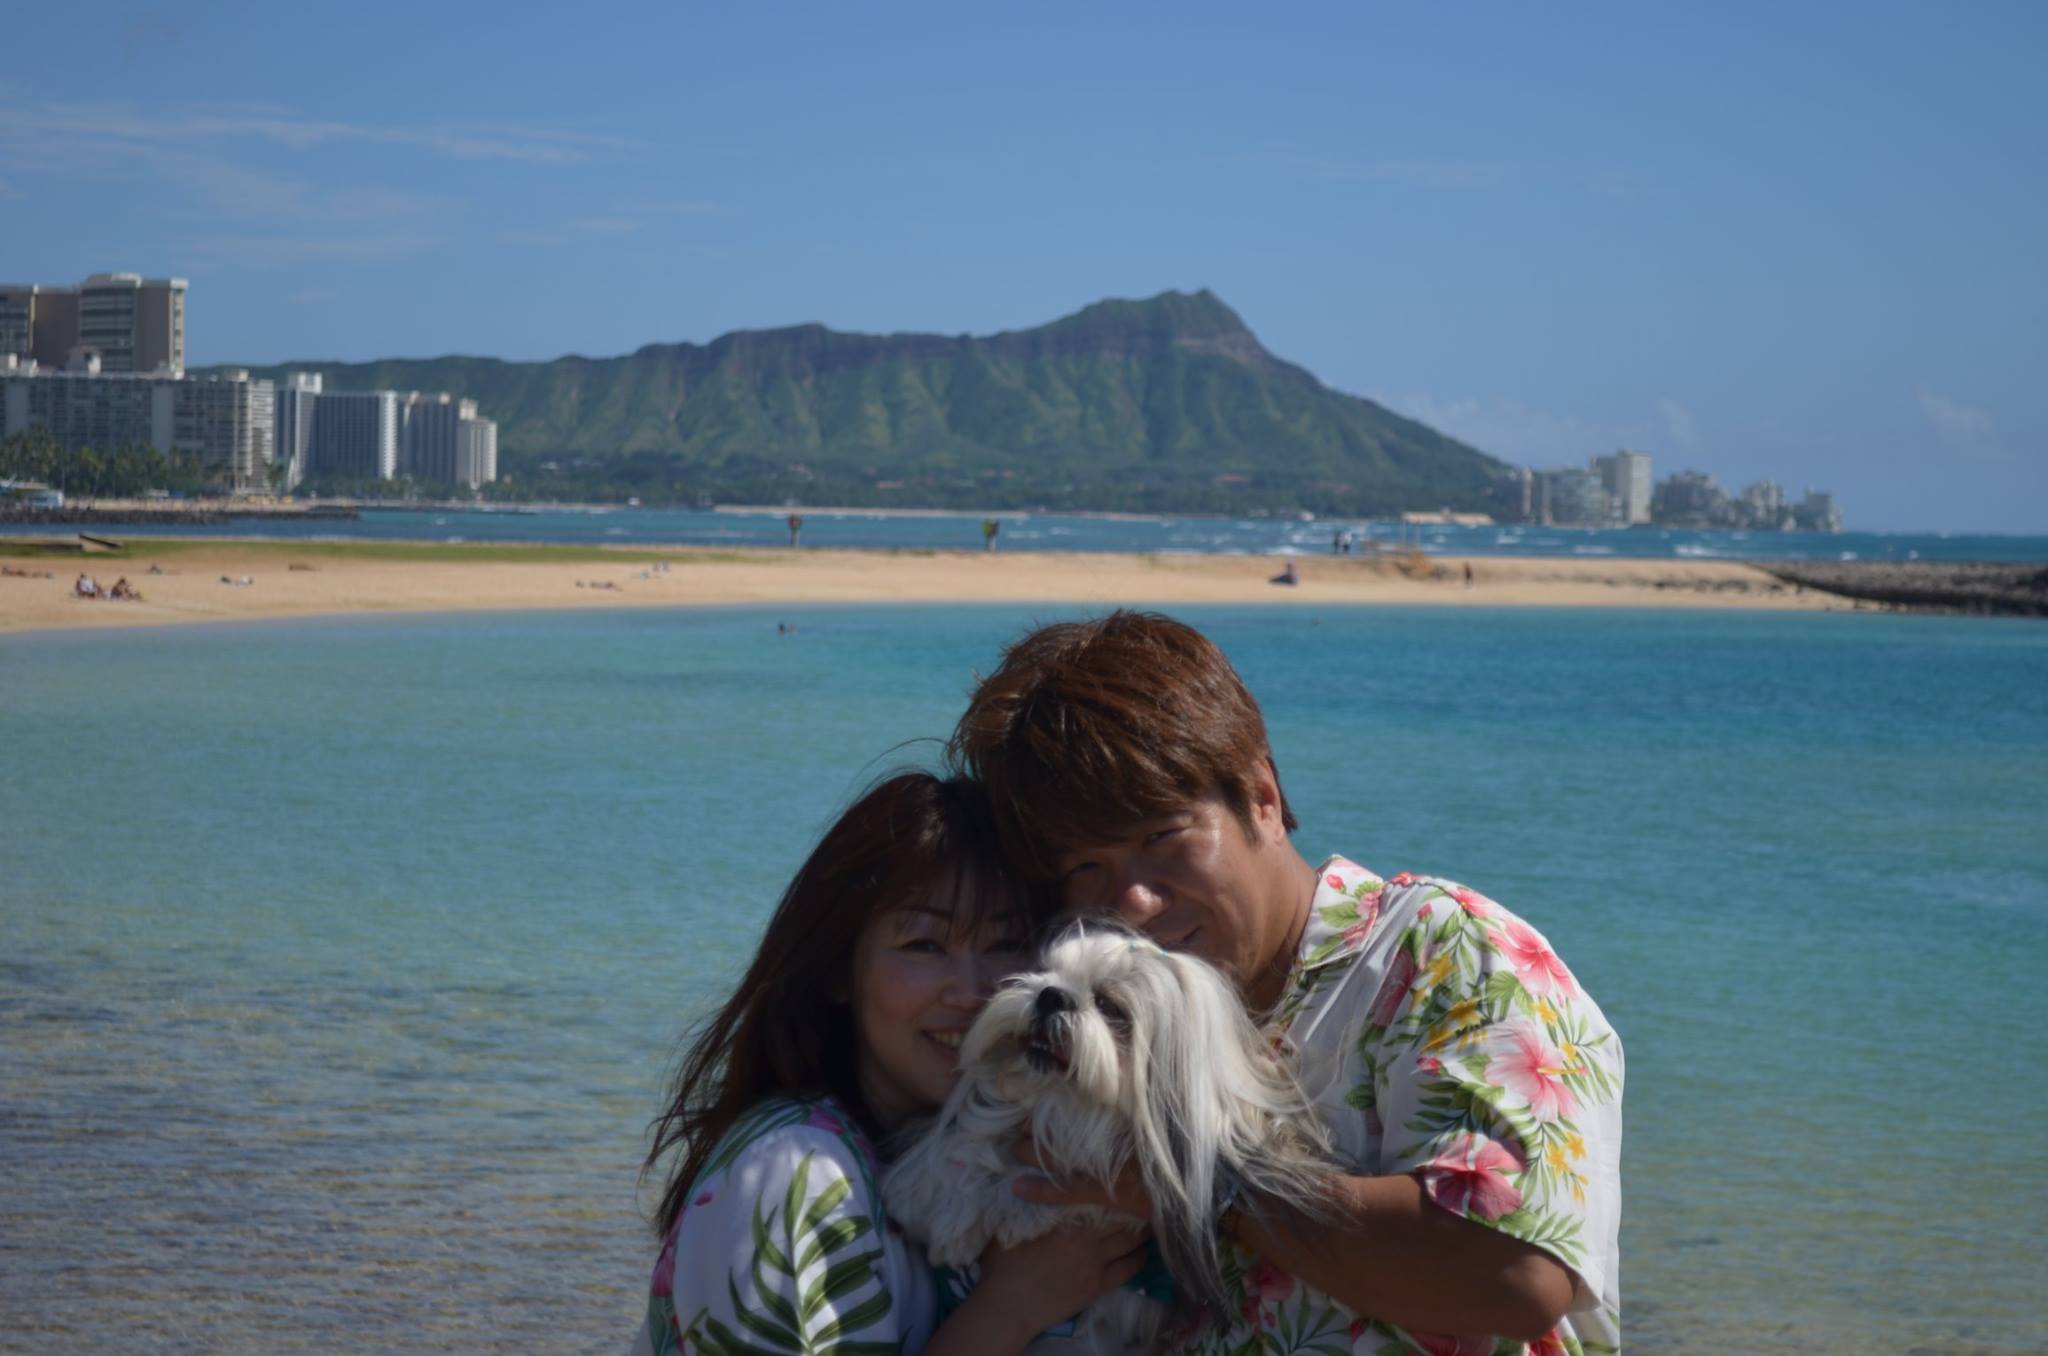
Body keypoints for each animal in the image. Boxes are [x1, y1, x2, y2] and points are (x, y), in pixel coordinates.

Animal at [883, 922, 1334, 1353]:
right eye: (1044, 971)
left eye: (1108, 1005)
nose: (1051, 995)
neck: (1062, 1104)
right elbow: (955, 1158)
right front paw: (951, 1219)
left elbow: (1084, 1169)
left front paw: (1019, 1204)